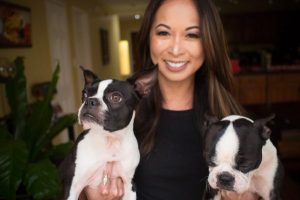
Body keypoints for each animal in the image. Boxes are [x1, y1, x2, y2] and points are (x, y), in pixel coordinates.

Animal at [59, 66, 157, 199]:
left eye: (115, 98)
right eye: (85, 94)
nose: (90, 101)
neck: (110, 140)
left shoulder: (129, 184)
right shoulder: (73, 186)